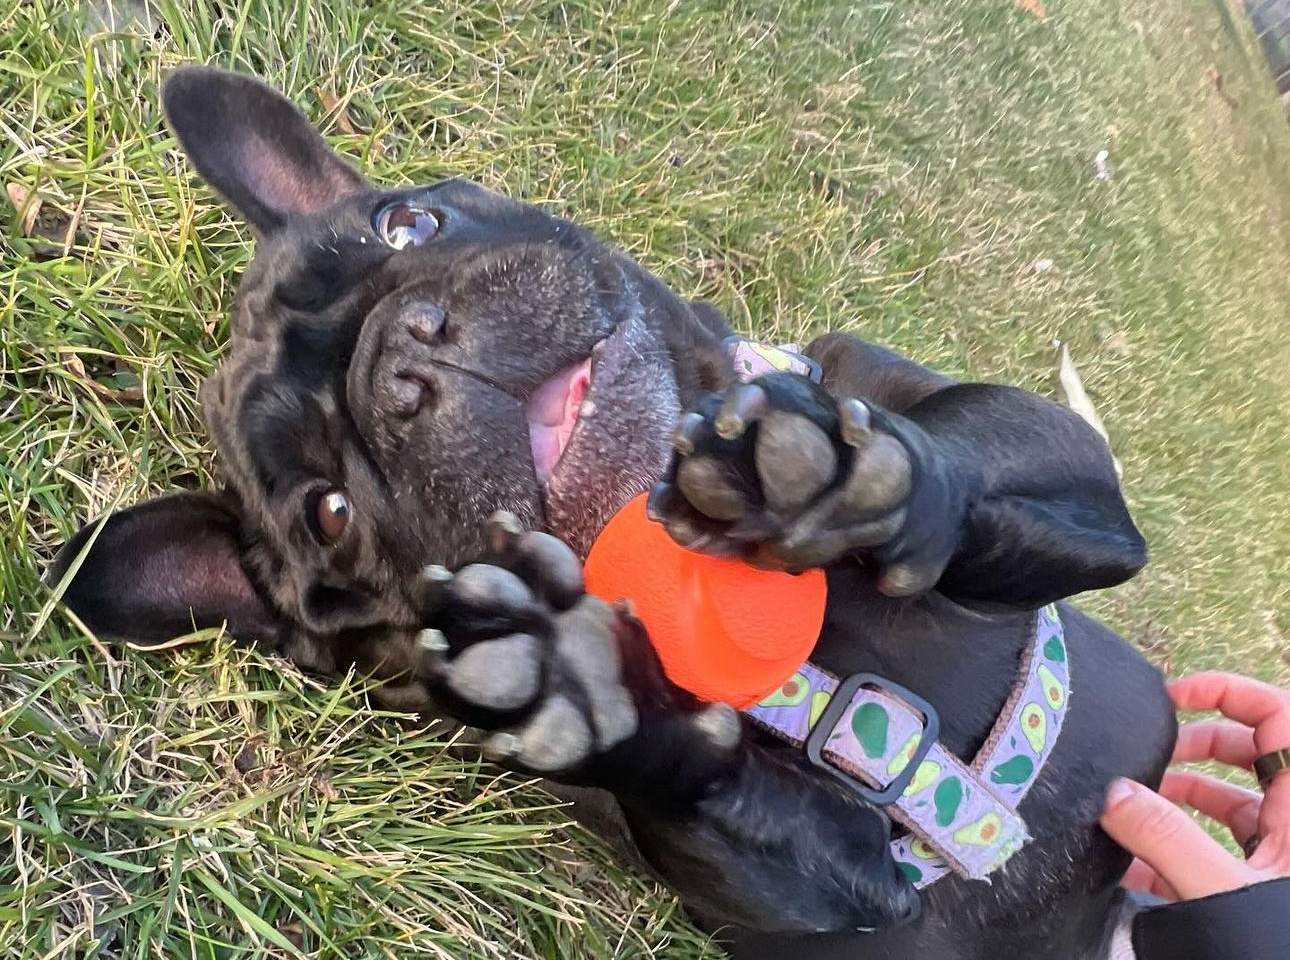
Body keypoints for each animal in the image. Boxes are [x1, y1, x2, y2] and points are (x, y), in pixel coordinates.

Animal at [50, 69, 1181, 960]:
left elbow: (973, 447)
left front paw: (825, 471)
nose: (398, 362)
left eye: (405, 224)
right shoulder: (839, 883)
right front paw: (578, 679)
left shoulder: (1053, 467)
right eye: (327, 511)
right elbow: (708, 779)